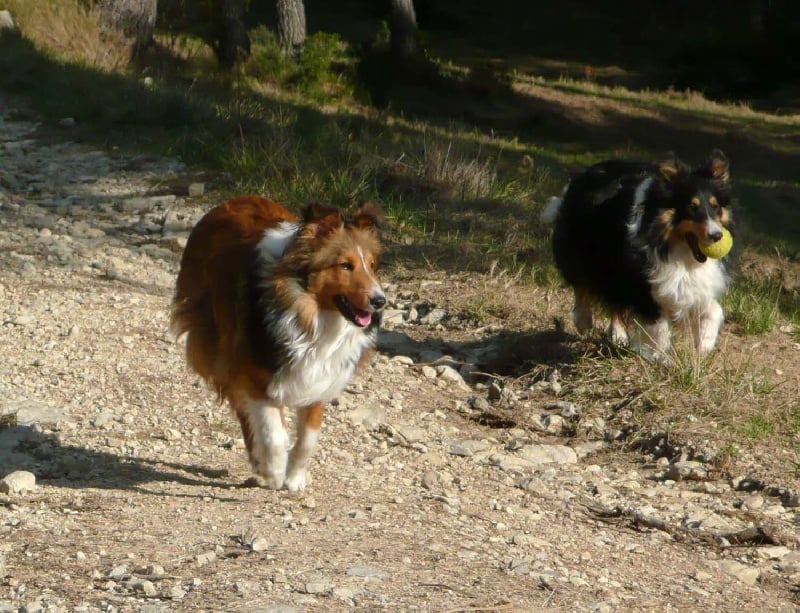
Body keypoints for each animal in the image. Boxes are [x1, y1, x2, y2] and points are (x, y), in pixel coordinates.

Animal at [173, 196, 386, 492]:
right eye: (345, 265)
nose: (380, 301)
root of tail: (232, 200)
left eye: (373, 265)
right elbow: (274, 435)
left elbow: (307, 440)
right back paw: (259, 463)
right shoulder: (258, 376)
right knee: (243, 410)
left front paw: (295, 478)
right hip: (220, 348)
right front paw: (274, 472)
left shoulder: (319, 377)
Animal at [540, 151, 736, 358]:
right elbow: (658, 325)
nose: (717, 236)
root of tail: (583, 175)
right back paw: (584, 322)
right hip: (587, 253)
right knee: (581, 284)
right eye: (691, 207)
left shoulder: (694, 284)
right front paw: (661, 357)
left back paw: (618, 335)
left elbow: (714, 310)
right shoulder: (643, 278)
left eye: (715, 206)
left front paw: (703, 348)